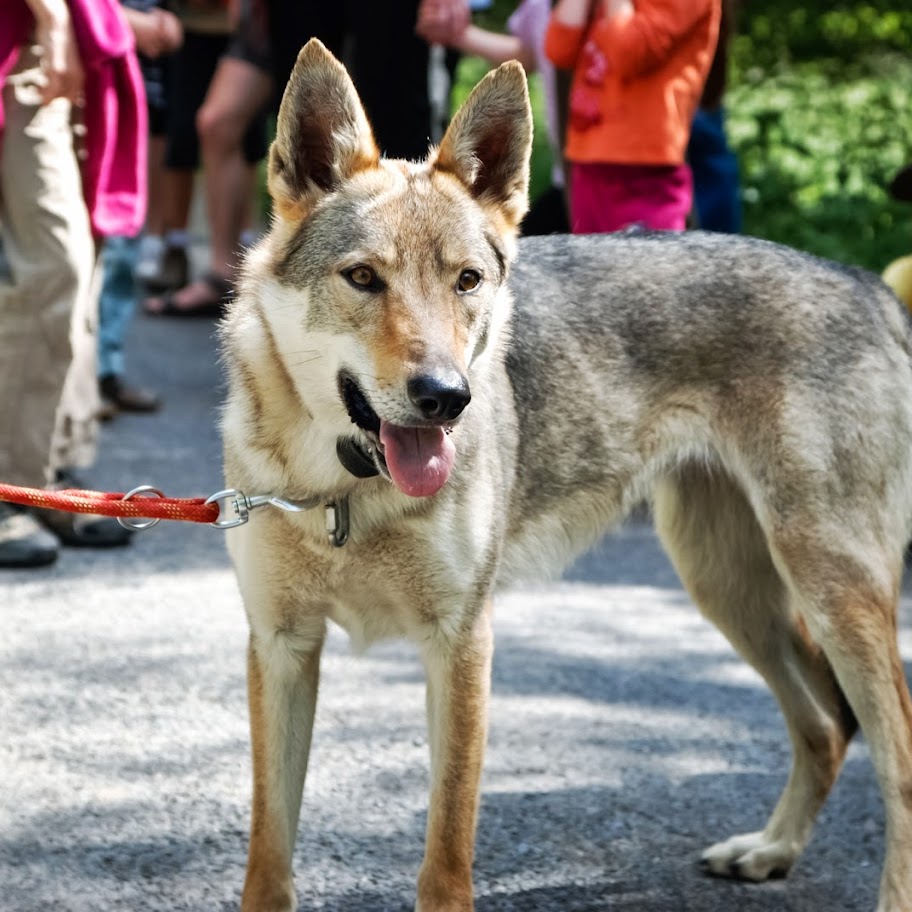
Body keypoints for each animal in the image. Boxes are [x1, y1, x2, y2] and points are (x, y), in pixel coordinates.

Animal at [221, 37, 912, 912]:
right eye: (364, 278)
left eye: (467, 281)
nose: (446, 397)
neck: (346, 492)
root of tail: (870, 286)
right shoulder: (279, 647)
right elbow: (268, 856)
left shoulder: (461, 643)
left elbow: (446, 852)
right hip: (730, 588)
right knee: (824, 728)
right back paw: (770, 850)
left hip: (830, 589)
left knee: (896, 759)